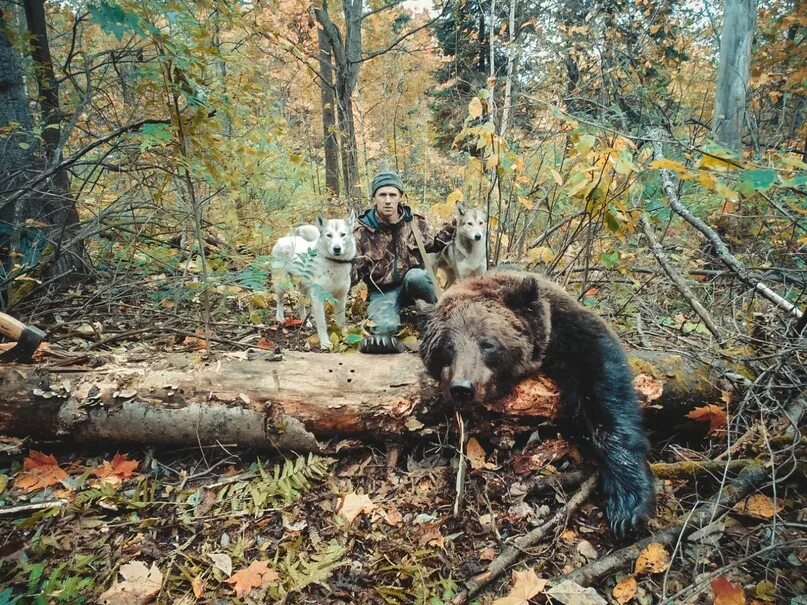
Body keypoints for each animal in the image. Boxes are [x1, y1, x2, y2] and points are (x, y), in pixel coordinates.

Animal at [272, 210, 356, 346]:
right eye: (329, 235)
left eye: (343, 235)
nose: (337, 249)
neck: (334, 264)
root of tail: (284, 238)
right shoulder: (317, 298)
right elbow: (322, 324)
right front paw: (325, 342)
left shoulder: (341, 297)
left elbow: (342, 321)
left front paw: (345, 336)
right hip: (281, 284)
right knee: (279, 301)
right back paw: (280, 318)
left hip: (304, 289)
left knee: (301, 305)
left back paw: (304, 321)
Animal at [416, 272, 656, 536]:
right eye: (447, 347)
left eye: (488, 343)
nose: (462, 388)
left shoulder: (572, 330)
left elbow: (605, 388)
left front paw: (628, 504)